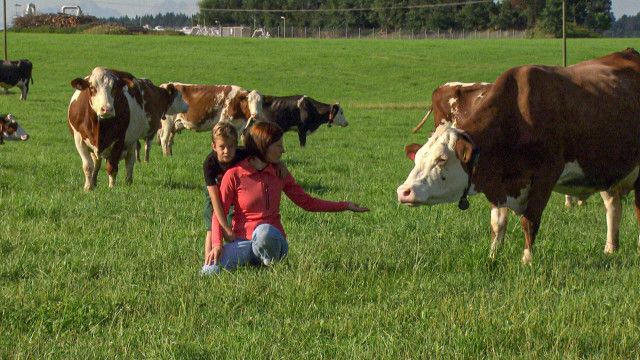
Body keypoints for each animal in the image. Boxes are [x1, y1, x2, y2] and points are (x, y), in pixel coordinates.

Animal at [398, 48, 640, 264]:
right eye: (417, 159)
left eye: (441, 159)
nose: (403, 191)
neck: (518, 117)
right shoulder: (499, 181)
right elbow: (497, 224)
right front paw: (493, 256)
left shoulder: (545, 175)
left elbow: (529, 221)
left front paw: (527, 260)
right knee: (613, 205)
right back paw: (610, 249)